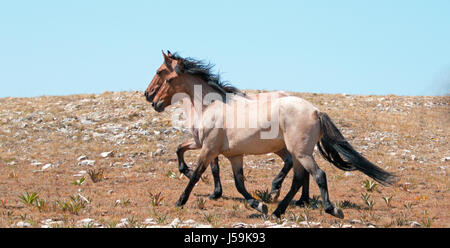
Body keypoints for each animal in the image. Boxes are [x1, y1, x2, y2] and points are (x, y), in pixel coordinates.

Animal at [144, 51, 398, 218]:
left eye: (160, 73)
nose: (151, 99)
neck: (210, 107)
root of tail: (315, 111)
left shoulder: (207, 148)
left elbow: (198, 174)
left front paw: (180, 200)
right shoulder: (231, 155)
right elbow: (238, 183)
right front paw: (258, 205)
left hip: (300, 152)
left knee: (317, 175)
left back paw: (329, 208)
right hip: (297, 153)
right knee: (298, 179)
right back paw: (278, 209)